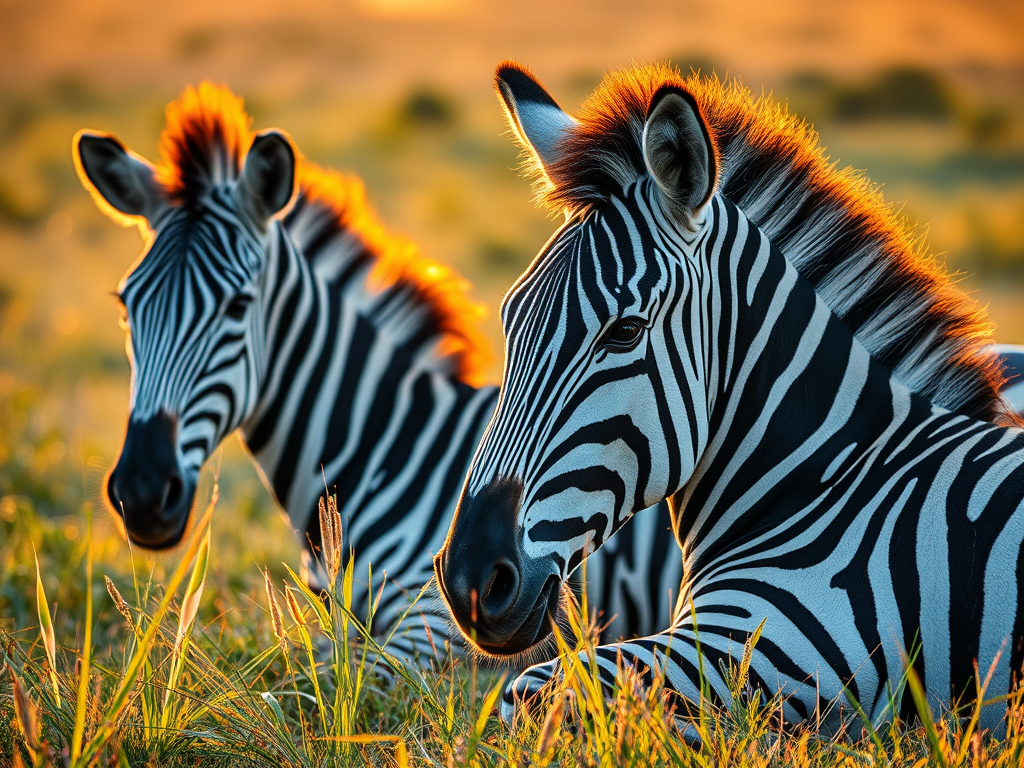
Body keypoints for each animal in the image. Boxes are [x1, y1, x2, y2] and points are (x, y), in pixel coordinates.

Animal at [435, 61, 1024, 730]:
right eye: (509, 321)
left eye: (625, 331)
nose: (470, 581)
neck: (826, 482)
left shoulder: (781, 653)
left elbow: (531, 693)